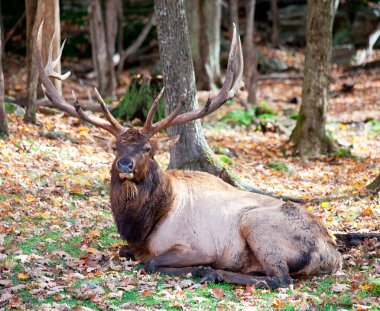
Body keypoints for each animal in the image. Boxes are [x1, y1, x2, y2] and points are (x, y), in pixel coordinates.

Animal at [37, 23, 342, 288]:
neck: (145, 225)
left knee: (280, 279)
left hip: (257, 225)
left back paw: (212, 273)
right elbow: (124, 251)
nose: (124, 164)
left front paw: (198, 268)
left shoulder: (198, 246)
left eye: (148, 149)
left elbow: (149, 263)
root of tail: (333, 255)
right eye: (115, 147)